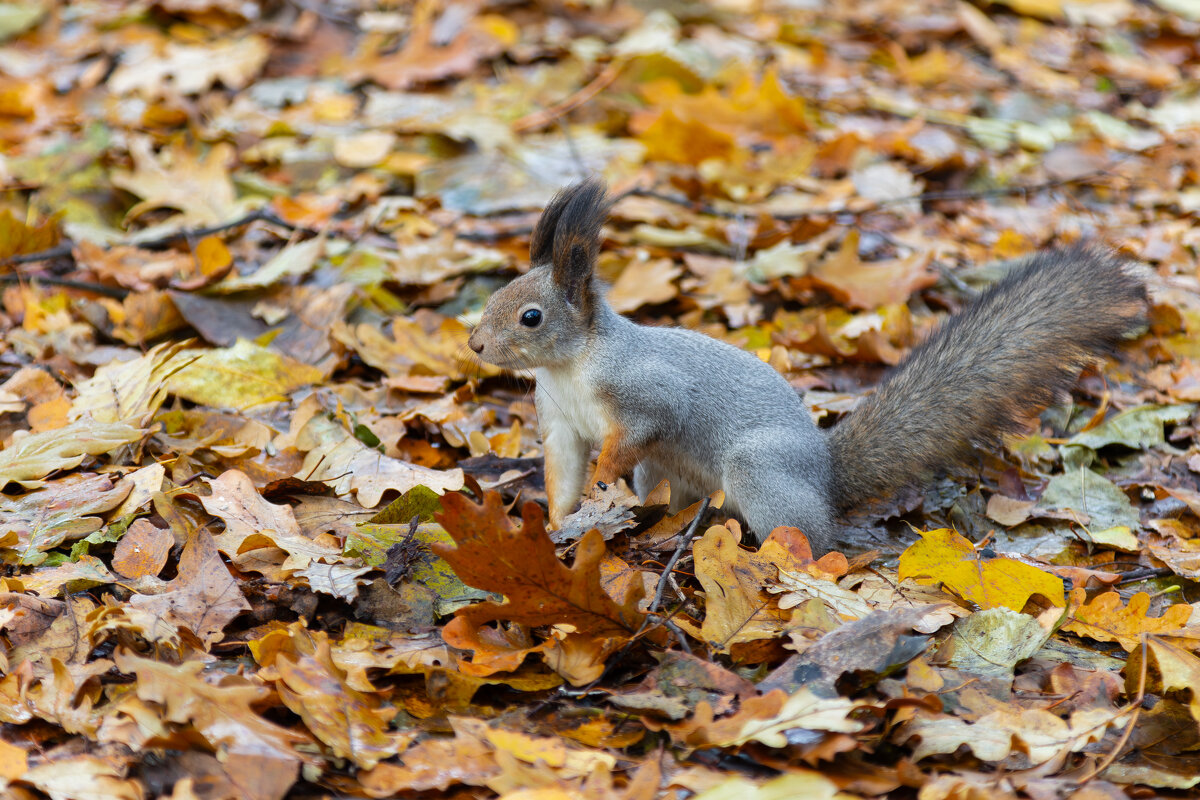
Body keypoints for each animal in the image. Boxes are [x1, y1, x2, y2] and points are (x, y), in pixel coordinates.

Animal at [463, 178, 1147, 554]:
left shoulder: (645, 393)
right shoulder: (558, 421)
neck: (571, 366)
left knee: (813, 541)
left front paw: (604, 481)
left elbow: (634, 434)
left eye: (530, 317)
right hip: (678, 474)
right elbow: (562, 472)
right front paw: (561, 522)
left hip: (760, 469)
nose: (474, 344)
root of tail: (824, 475)